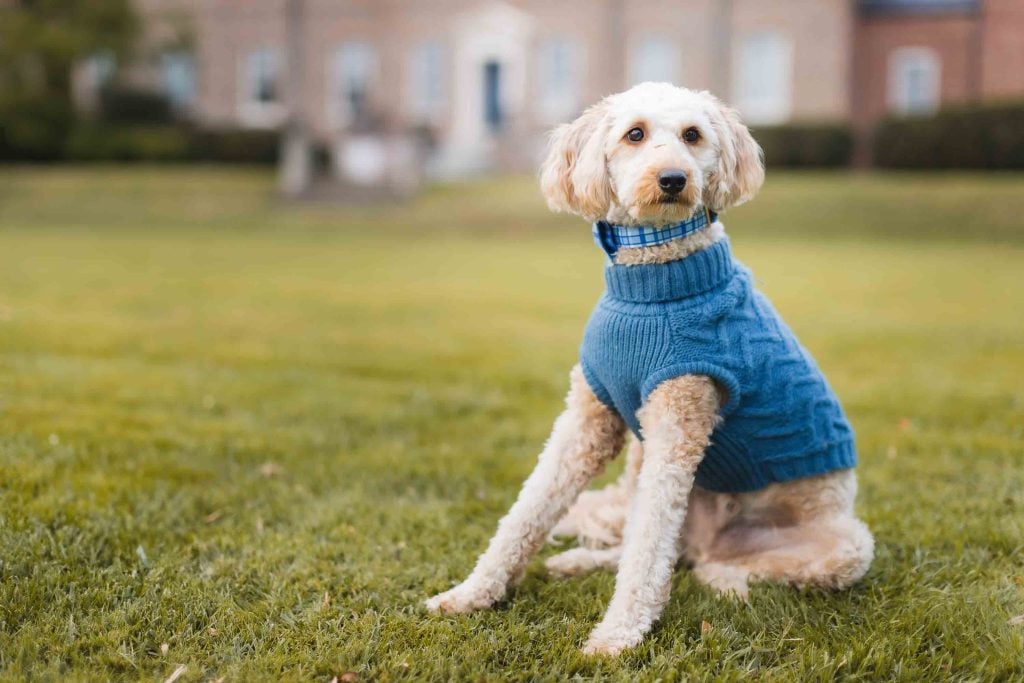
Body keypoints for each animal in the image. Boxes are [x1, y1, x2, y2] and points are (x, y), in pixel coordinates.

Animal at [423, 82, 872, 655]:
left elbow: (647, 544)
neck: (651, 284)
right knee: (671, 552)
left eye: (692, 135)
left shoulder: (676, 428)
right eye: (634, 134)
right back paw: (581, 561)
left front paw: (616, 636)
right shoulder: (588, 422)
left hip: (845, 545)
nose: (674, 178)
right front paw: (471, 593)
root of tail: (716, 542)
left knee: (702, 562)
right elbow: (528, 511)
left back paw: (724, 581)